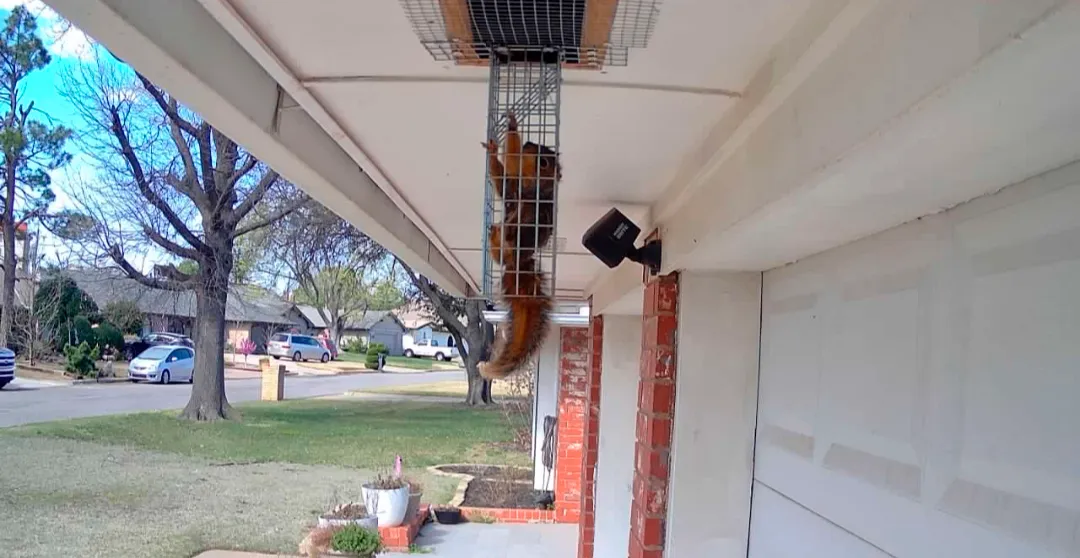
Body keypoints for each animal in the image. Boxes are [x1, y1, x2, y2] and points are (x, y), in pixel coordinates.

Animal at [478, 111, 560, 379]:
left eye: (544, 162)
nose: (529, 144)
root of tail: (517, 263)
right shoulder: (513, 185)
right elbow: (504, 178)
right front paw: (506, 136)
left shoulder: (526, 195)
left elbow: (511, 185)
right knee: (499, 249)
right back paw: (494, 233)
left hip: (517, 240)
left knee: (512, 235)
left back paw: (504, 233)